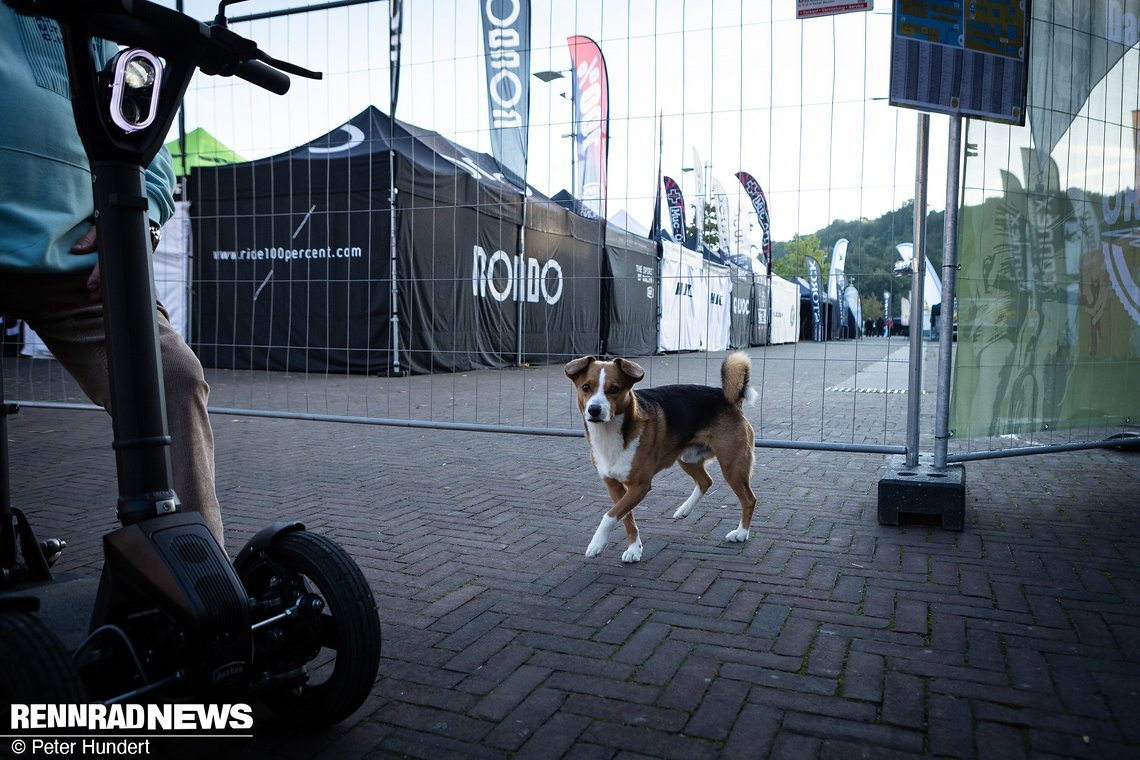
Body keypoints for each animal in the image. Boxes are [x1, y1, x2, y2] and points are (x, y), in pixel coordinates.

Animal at [563, 353, 756, 562]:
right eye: (586, 387)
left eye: (614, 389)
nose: (594, 410)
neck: (610, 433)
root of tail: (727, 398)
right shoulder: (614, 486)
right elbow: (626, 518)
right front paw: (634, 548)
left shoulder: (639, 486)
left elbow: (609, 516)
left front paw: (597, 544)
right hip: (687, 459)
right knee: (705, 481)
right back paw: (684, 510)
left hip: (732, 466)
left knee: (749, 500)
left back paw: (741, 533)